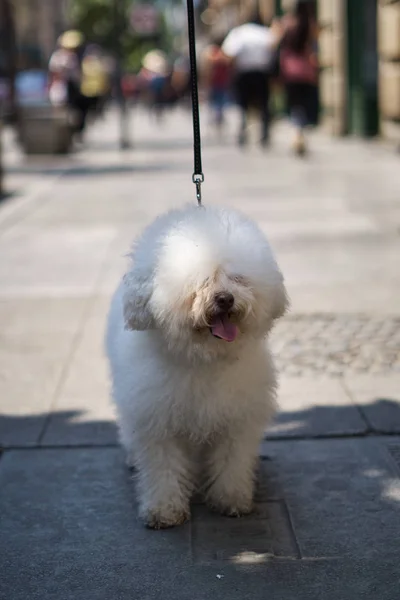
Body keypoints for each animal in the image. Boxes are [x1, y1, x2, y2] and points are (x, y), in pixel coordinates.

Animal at [106, 204, 288, 528]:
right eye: (200, 281)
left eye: (237, 278)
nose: (225, 299)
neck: (202, 359)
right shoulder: (157, 420)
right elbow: (163, 467)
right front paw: (164, 509)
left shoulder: (235, 418)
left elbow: (232, 461)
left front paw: (231, 499)